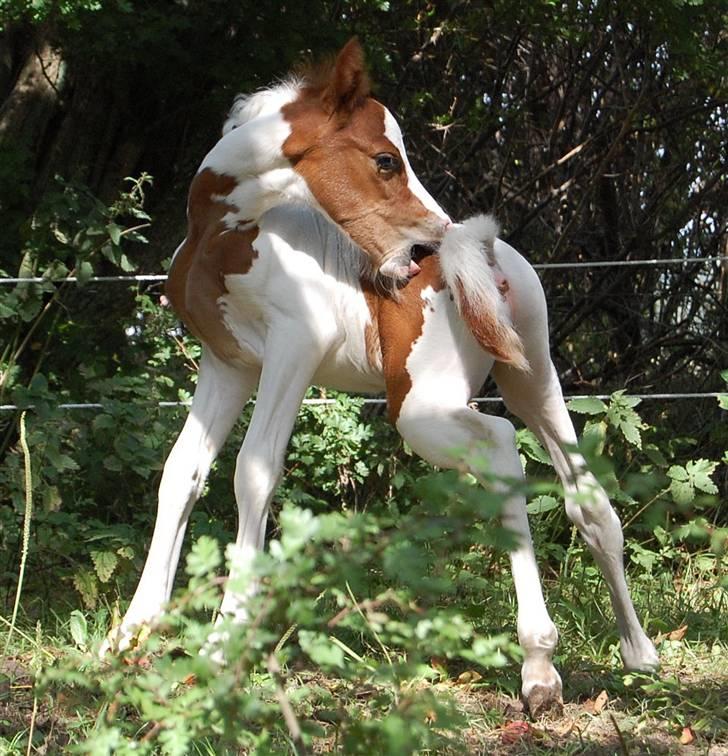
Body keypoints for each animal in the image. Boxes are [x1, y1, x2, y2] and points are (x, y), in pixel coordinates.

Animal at [108, 42, 660, 716]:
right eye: (385, 160)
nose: (423, 248)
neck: (223, 234)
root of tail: (479, 250)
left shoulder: (294, 346)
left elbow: (253, 473)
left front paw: (223, 642)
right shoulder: (228, 364)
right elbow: (181, 472)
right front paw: (133, 632)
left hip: (422, 408)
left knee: (501, 446)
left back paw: (540, 669)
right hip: (532, 375)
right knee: (589, 500)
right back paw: (638, 654)